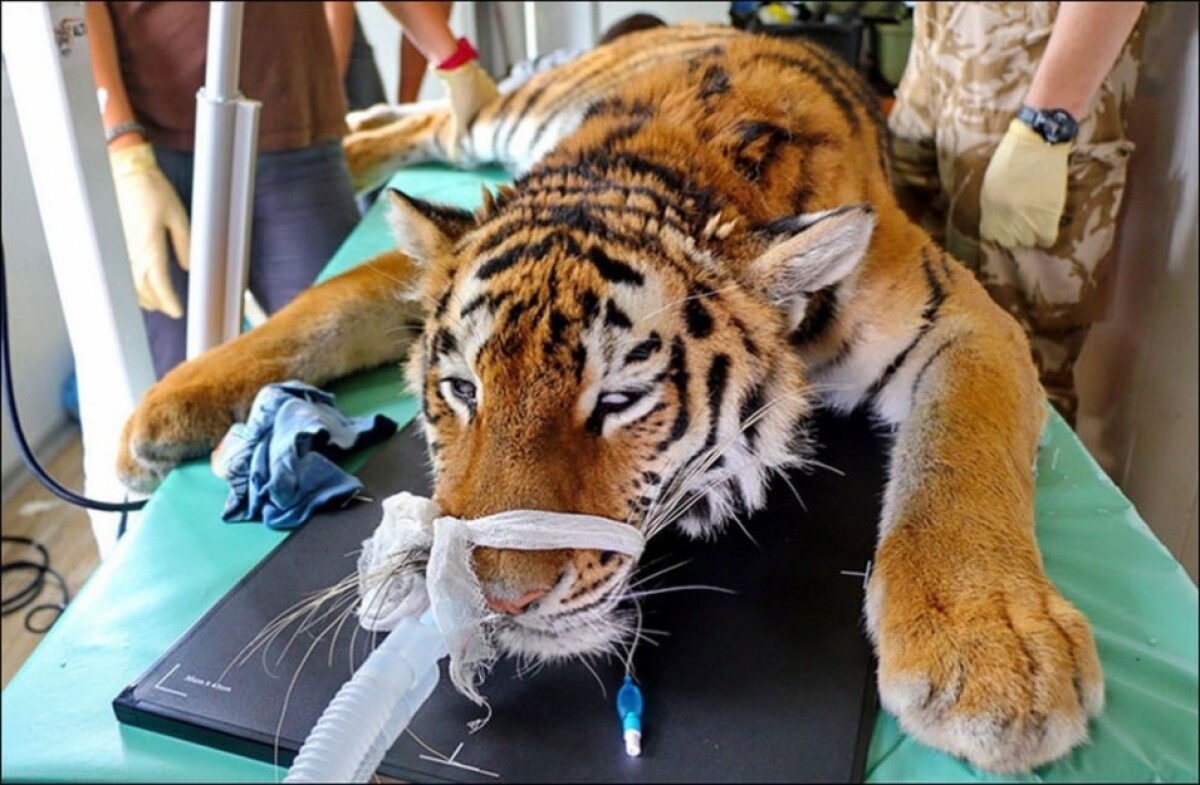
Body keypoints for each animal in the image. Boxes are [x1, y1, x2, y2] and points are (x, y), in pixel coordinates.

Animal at [116, 24, 1102, 774]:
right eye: (461, 388)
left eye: (622, 398)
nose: (493, 603)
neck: (666, 169)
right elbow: (326, 302)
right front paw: (159, 412)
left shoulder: (961, 314)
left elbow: (962, 460)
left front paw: (994, 658)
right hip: (516, 117)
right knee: (449, 112)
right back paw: (361, 133)